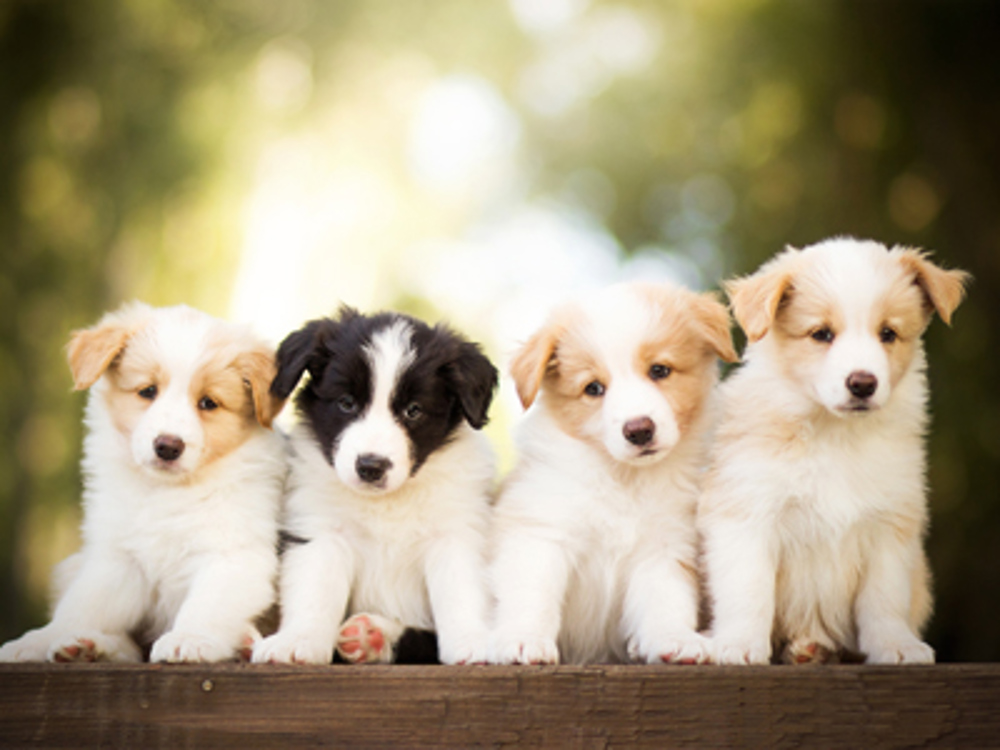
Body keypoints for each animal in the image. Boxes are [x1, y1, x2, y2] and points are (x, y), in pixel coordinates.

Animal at [0, 300, 290, 664]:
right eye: (148, 391)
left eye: (208, 402)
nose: (167, 446)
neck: (166, 491)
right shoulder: (118, 559)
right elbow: (82, 606)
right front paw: (40, 640)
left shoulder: (235, 553)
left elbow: (207, 605)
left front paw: (189, 638)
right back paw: (90, 647)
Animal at [252, 308, 498, 668]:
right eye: (347, 403)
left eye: (413, 410)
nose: (370, 466)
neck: (387, 502)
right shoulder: (322, 532)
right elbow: (315, 591)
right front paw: (298, 641)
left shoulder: (456, 533)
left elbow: (461, 592)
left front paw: (474, 642)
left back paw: (374, 636)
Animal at [488, 280, 740, 664]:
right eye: (594, 388)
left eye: (659, 370)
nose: (639, 430)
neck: (623, 478)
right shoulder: (540, 532)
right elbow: (531, 593)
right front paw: (523, 639)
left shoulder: (665, 545)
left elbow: (666, 600)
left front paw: (675, 639)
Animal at [704, 238, 968, 668]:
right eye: (821, 334)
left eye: (888, 333)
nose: (862, 383)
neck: (835, 434)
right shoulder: (747, 512)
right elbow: (748, 588)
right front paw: (739, 644)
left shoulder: (890, 522)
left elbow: (884, 596)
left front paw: (896, 645)